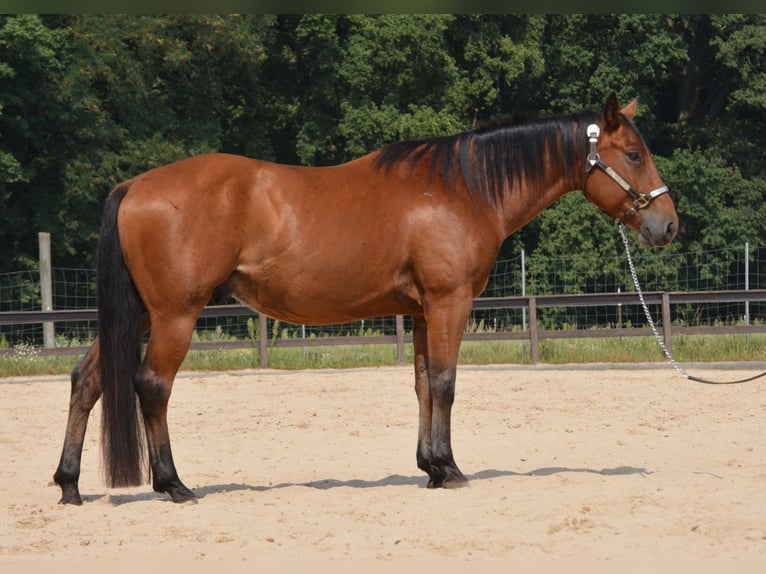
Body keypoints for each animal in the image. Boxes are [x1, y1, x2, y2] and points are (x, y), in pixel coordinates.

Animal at [53, 93, 678, 505]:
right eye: (634, 154)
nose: (668, 225)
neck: (461, 189)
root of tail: (134, 185)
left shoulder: (424, 312)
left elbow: (424, 384)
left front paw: (431, 466)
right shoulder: (450, 304)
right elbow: (446, 384)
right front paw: (451, 469)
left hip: (137, 316)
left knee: (87, 380)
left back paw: (69, 485)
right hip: (174, 315)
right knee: (152, 386)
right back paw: (173, 484)